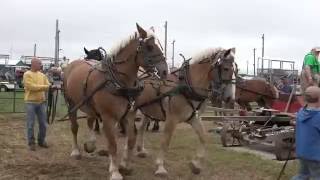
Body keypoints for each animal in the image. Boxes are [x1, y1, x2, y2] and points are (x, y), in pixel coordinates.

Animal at [63, 23, 168, 180]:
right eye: (149, 47)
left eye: (160, 46)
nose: (165, 71)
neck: (120, 82)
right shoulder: (108, 117)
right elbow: (112, 144)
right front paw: (114, 171)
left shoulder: (129, 115)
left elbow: (131, 140)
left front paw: (125, 165)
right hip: (71, 104)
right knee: (74, 127)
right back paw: (76, 151)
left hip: (89, 106)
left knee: (90, 121)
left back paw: (91, 144)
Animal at [131, 47, 238, 176]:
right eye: (226, 68)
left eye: (236, 70)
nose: (230, 98)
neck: (187, 85)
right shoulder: (171, 119)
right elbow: (166, 141)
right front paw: (160, 166)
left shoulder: (193, 118)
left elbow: (203, 137)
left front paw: (195, 165)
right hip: (133, 108)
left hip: (148, 110)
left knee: (141, 128)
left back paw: (140, 150)